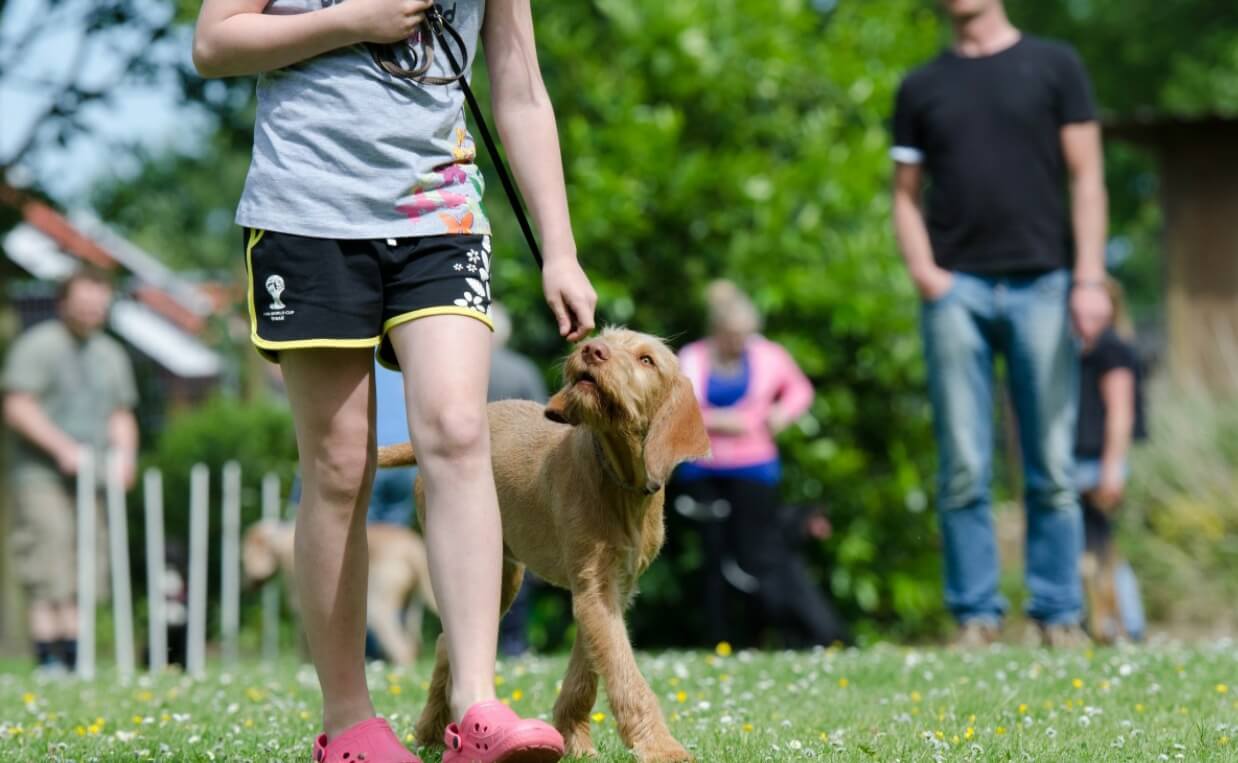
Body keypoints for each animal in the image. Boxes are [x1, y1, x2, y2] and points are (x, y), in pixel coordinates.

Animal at [238, 522, 438, 663]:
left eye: (244, 559)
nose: (244, 586)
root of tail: (412, 547)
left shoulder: (301, 608)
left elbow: (304, 644)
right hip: (412, 607)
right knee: (412, 645)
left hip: (378, 607)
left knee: (402, 649)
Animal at [378, 327, 708, 763]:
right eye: (605, 337)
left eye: (646, 360)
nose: (591, 349)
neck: (619, 479)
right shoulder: (594, 588)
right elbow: (624, 672)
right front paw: (660, 746)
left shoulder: (609, 590)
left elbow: (588, 670)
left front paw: (574, 740)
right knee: (447, 642)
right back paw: (432, 734)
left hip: (502, 575)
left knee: (448, 643)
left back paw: (434, 733)